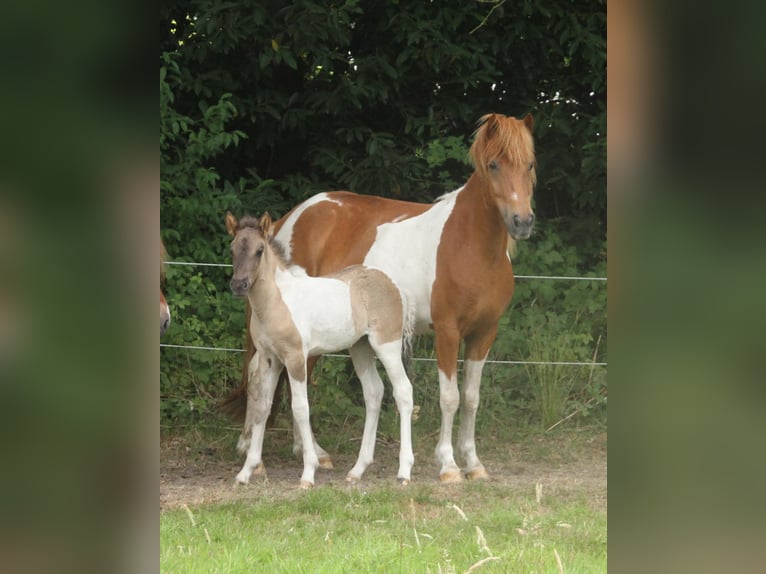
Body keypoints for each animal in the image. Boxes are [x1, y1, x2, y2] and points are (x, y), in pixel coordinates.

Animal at [226, 211, 415, 488]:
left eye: (259, 250)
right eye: (232, 249)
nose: (239, 285)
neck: (277, 301)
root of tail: (394, 284)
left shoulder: (295, 358)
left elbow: (300, 408)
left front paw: (308, 473)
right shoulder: (270, 359)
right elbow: (263, 406)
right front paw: (245, 472)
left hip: (386, 346)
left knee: (403, 391)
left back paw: (404, 470)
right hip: (360, 348)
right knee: (374, 392)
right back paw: (357, 470)